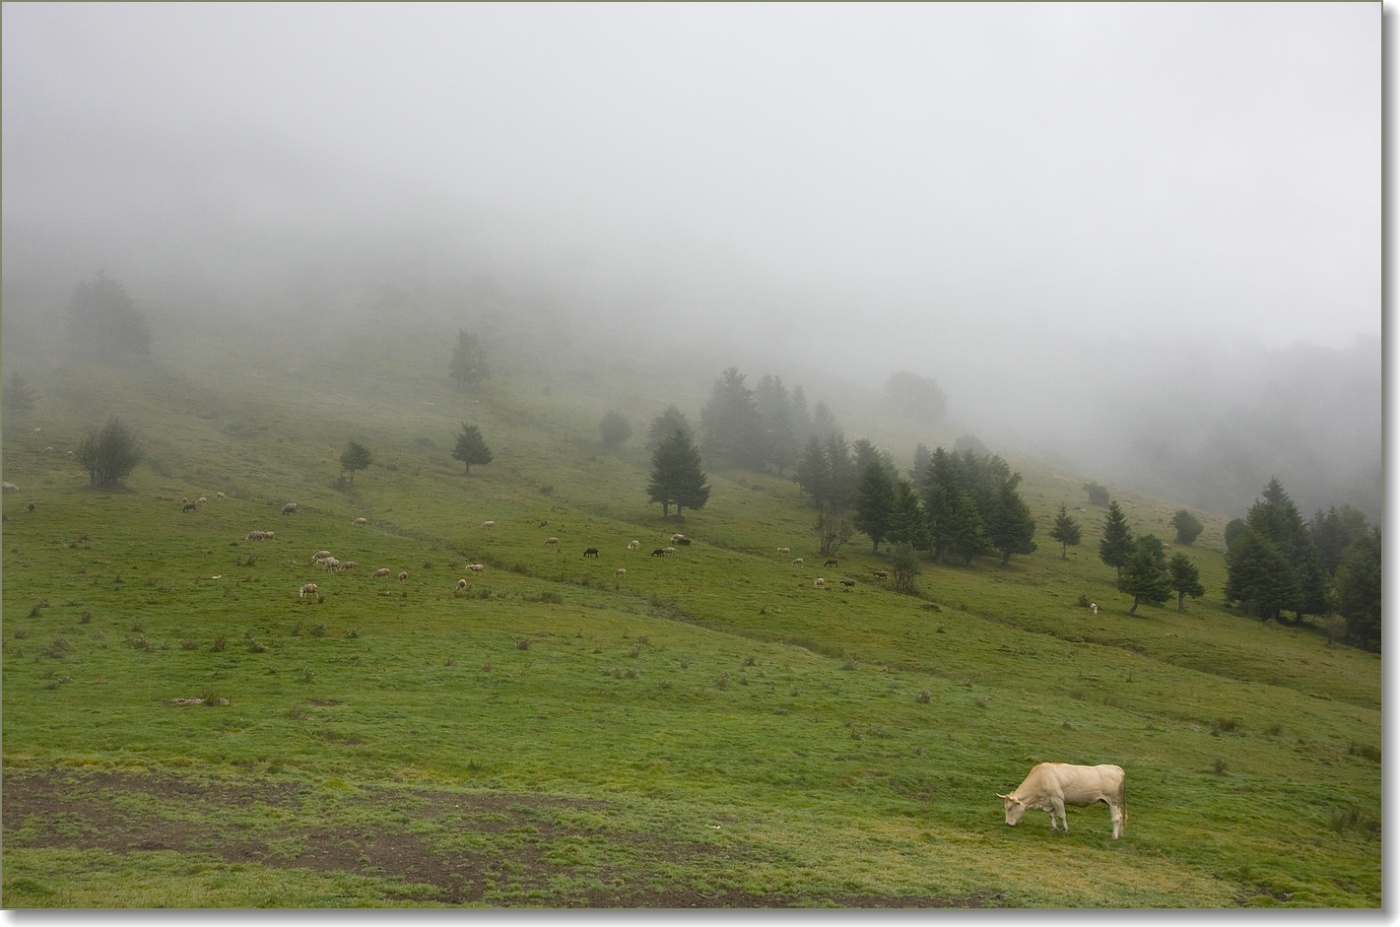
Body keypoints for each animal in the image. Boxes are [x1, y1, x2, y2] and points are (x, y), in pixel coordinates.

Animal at [996, 761, 1125, 840]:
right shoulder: (1049, 801)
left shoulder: (1057, 798)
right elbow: (1051, 815)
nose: (1007, 823)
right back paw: (1119, 834)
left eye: (1010, 808)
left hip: (1113, 802)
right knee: (1121, 817)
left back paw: (1114, 836)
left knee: (1116, 818)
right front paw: (1053, 828)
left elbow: (1062, 815)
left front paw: (1065, 830)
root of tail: (1117, 768)